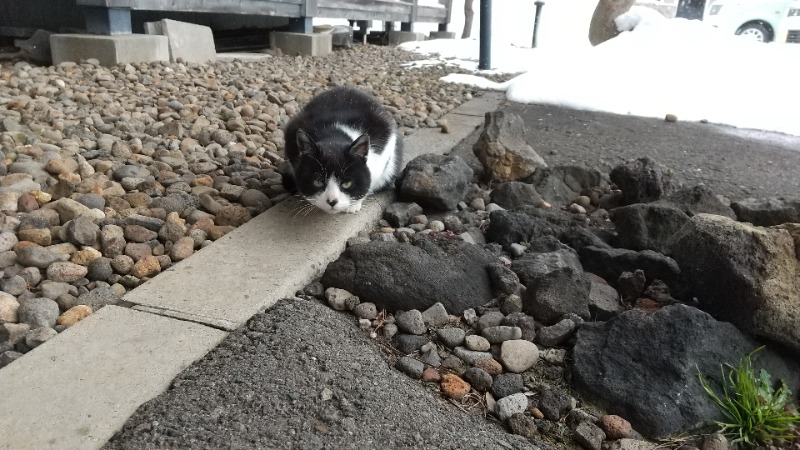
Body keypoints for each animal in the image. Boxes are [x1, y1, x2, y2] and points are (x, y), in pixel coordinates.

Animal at [284, 88, 404, 216]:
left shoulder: (386, 144)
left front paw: (354, 205)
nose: (332, 201)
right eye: (318, 182)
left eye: (347, 183)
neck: (333, 137)